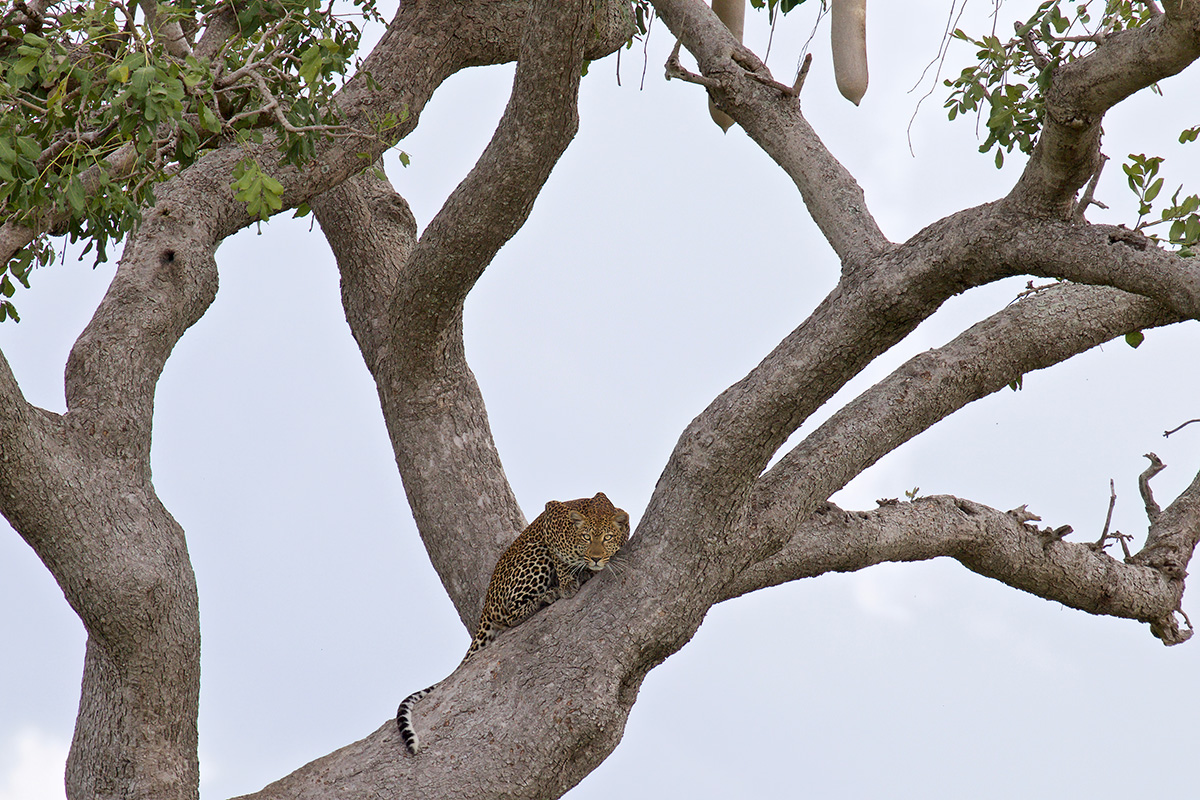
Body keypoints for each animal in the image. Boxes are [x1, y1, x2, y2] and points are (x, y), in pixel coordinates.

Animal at [398, 489, 633, 758]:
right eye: (586, 537)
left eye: (607, 538)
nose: (595, 558)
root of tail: (487, 602)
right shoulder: (550, 519)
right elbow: (561, 560)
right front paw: (568, 582)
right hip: (533, 558)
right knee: (511, 613)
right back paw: (547, 596)